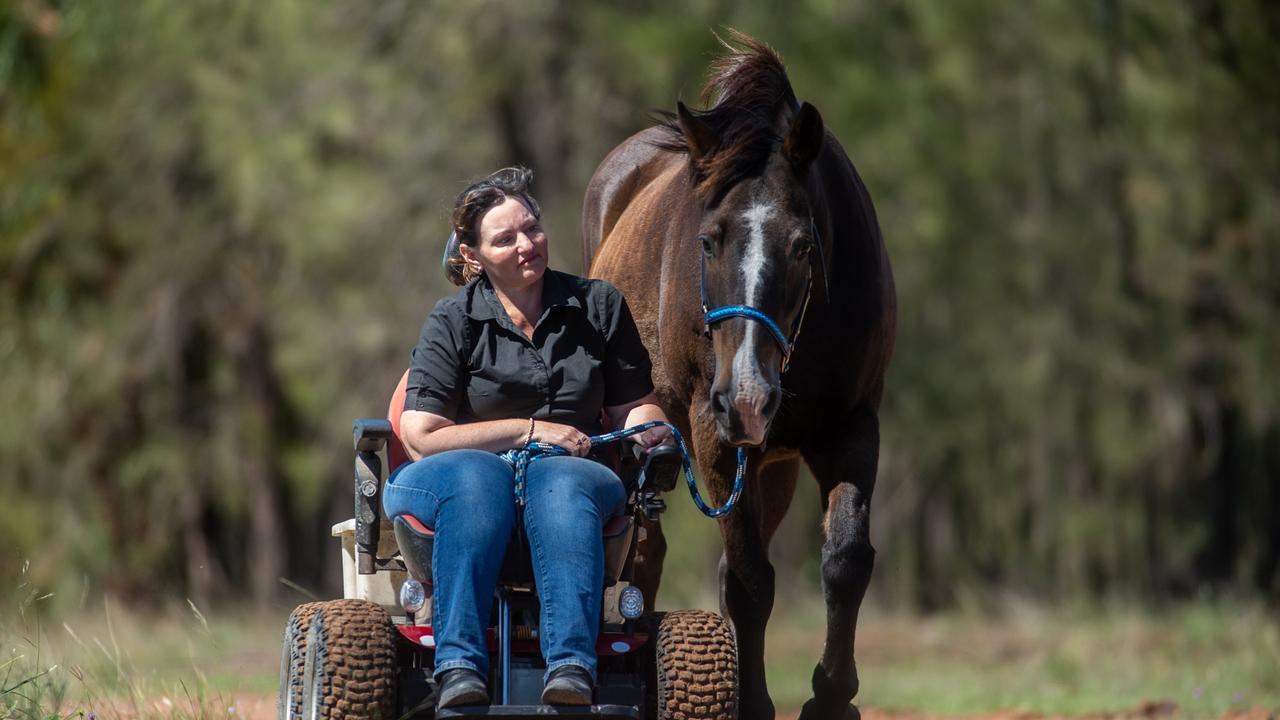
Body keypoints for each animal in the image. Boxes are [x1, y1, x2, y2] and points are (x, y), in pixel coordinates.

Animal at [583, 33, 896, 717]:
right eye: (707, 241)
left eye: (804, 245)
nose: (749, 398)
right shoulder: (711, 431)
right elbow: (752, 582)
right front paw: (752, 702)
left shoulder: (852, 426)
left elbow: (845, 562)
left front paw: (831, 698)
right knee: (646, 555)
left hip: (771, 463)